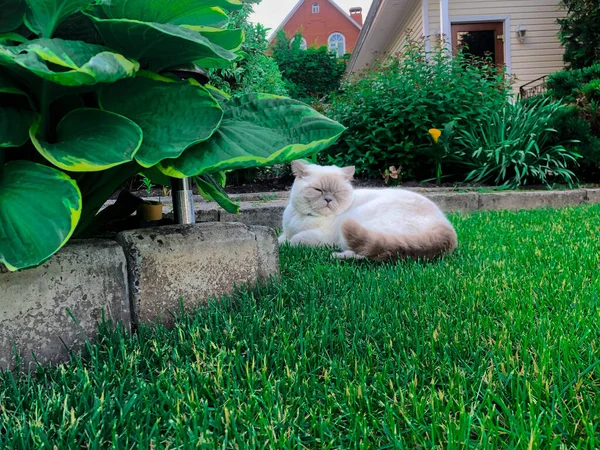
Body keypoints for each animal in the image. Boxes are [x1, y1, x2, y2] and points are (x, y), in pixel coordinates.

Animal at [278, 161, 458, 260]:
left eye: (337, 192)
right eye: (318, 190)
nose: (328, 199)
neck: (302, 217)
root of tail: (445, 225)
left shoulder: (322, 238)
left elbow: (295, 240)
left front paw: (288, 245)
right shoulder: (285, 232)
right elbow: (281, 239)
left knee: (370, 253)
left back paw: (337, 256)